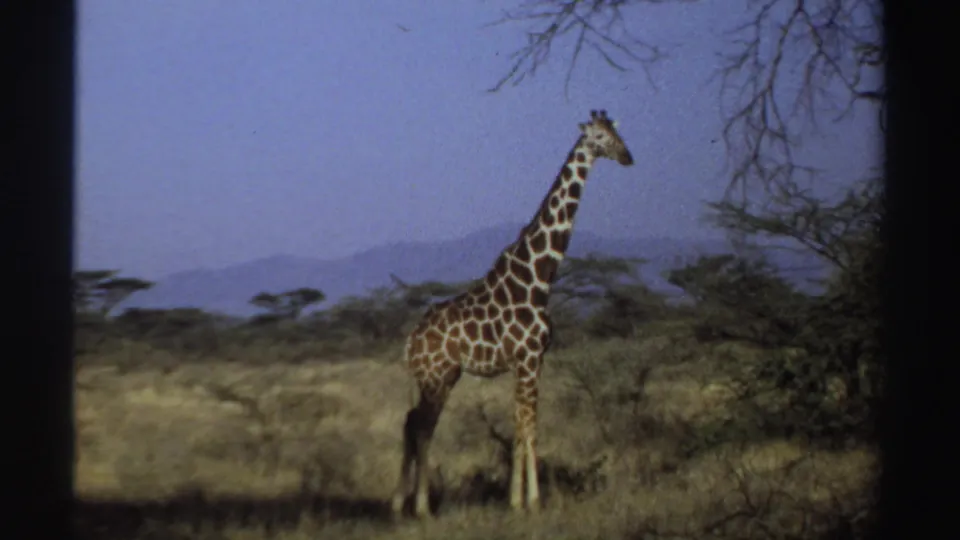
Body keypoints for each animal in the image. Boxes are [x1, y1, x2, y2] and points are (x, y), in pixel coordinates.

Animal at [391, 110, 634, 519]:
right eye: (599, 137)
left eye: (618, 133)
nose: (627, 157)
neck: (538, 278)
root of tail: (411, 342)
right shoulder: (530, 358)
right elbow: (531, 427)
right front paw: (533, 501)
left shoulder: (527, 363)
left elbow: (519, 427)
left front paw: (515, 500)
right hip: (436, 378)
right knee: (421, 428)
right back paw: (421, 507)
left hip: (439, 377)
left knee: (412, 424)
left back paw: (400, 504)